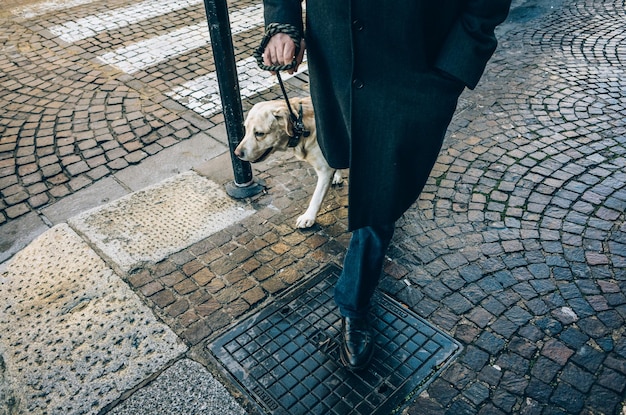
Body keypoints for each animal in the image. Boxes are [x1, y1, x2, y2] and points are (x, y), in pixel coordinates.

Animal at [234, 96, 342, 229]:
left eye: (259, 133)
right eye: (246, 129)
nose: (236, 153)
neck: (302, 128)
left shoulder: (324, 171)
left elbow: (316, 197)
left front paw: (308, 217)